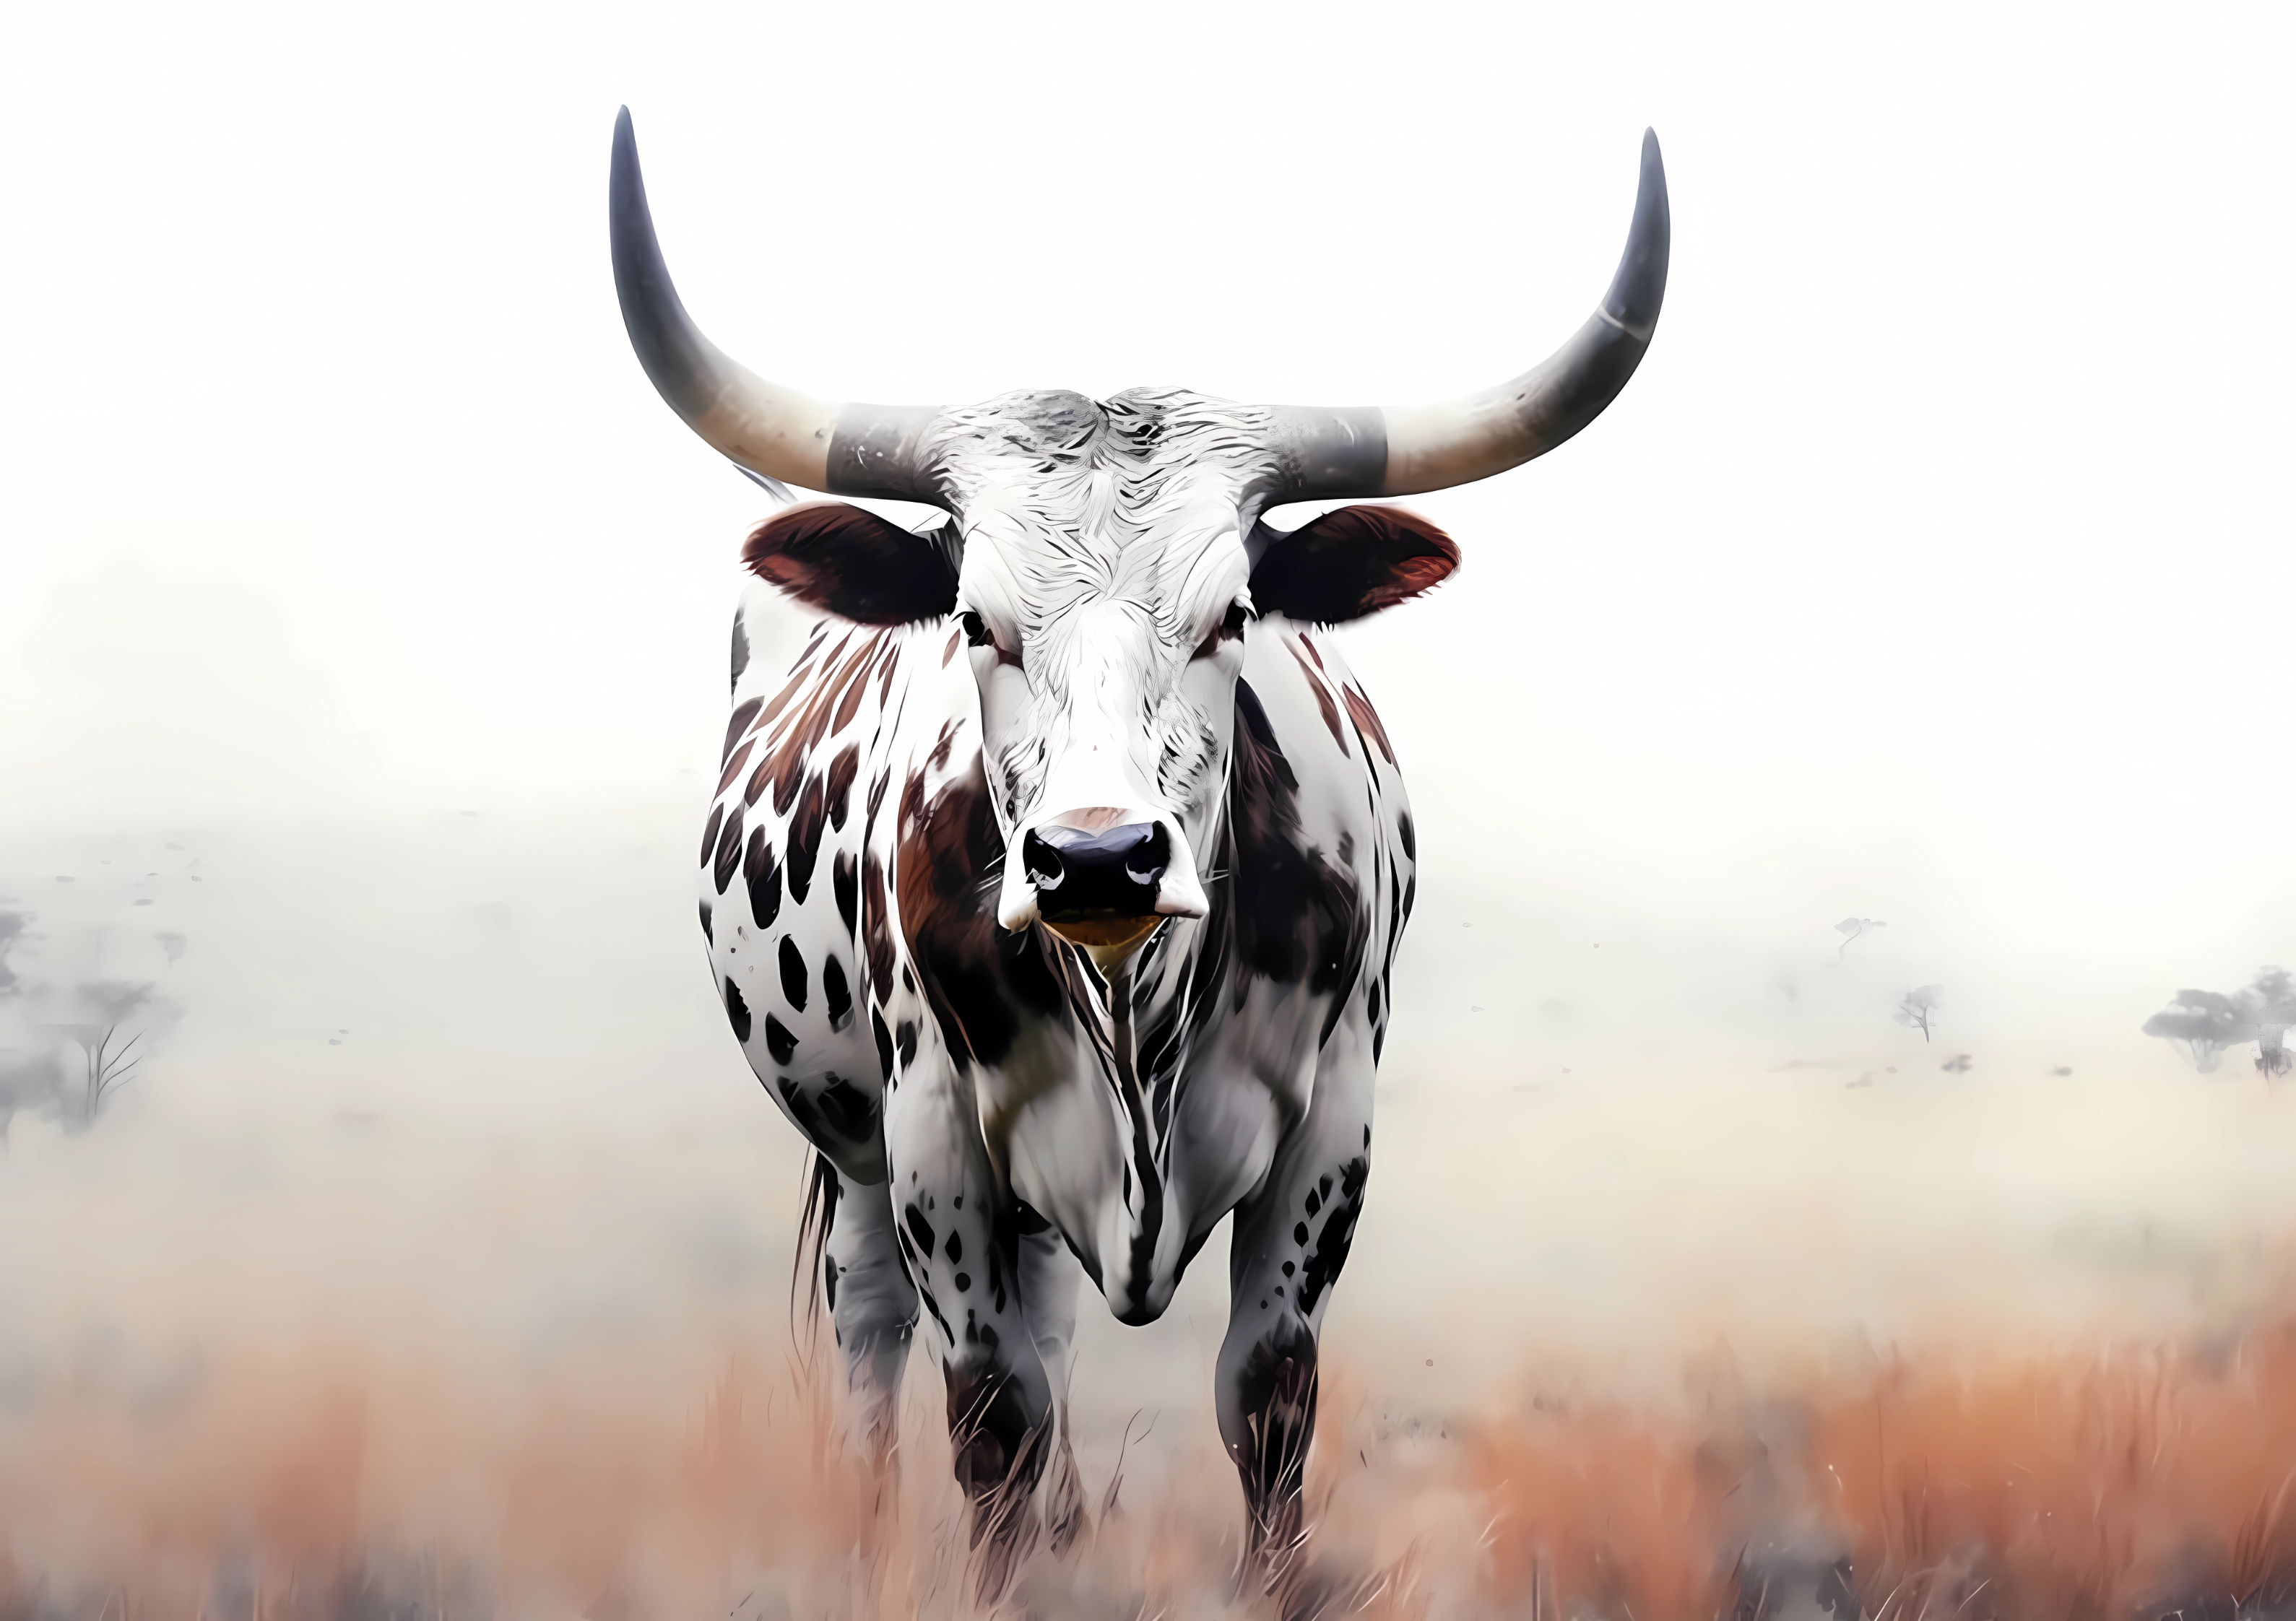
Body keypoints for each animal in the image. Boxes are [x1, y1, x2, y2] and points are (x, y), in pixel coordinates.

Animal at [608, 107, 1667, 1599]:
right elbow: (988, 1416)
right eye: (974, 619)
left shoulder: (1329, 1131)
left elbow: (1263, 1399)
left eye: (1233, 613)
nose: (1095, 862)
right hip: (859, 1146)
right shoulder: (932, 1141)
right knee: (872, 1332)